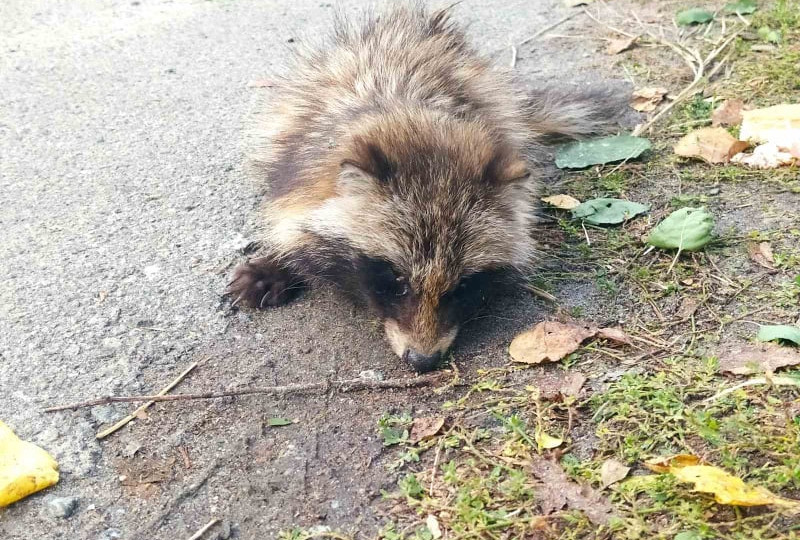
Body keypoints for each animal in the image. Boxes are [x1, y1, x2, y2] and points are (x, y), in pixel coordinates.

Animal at [228, 3, 620, 372]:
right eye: (396, 279)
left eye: (462, 286)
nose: (423, 361)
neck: (411, 114)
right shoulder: (295, 154)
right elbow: (290, 215)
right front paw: (278, 261)